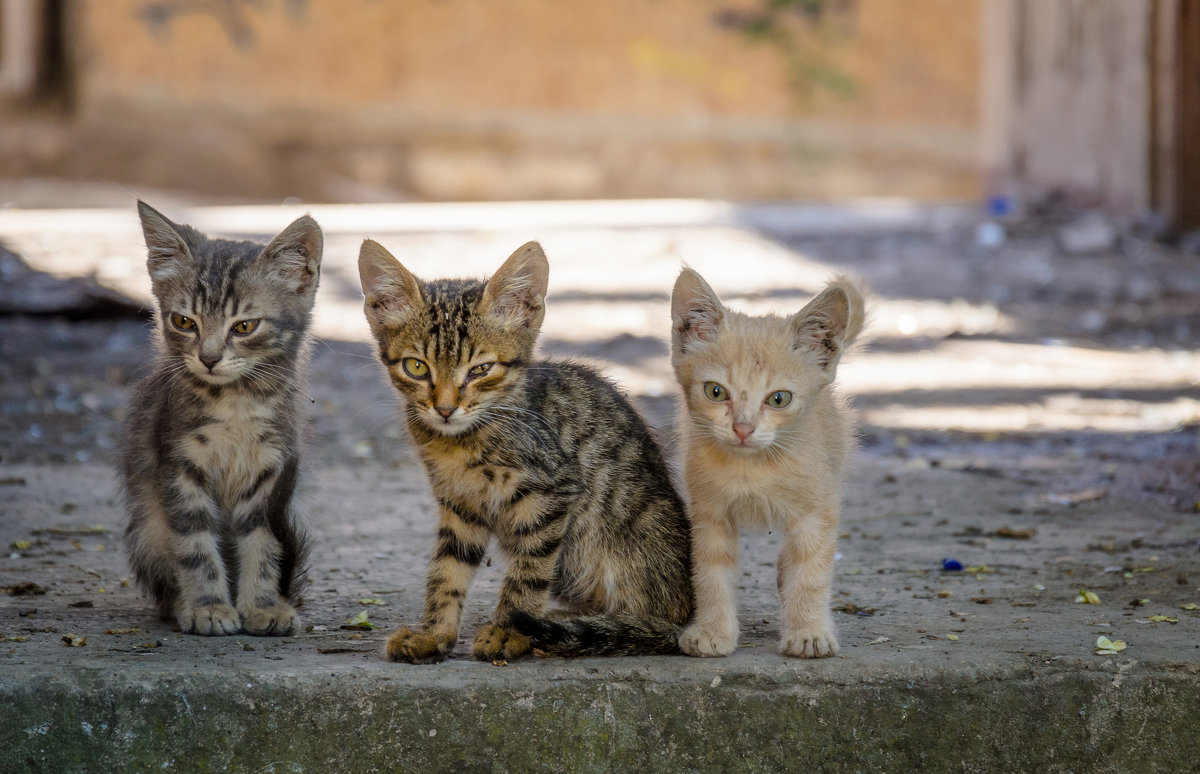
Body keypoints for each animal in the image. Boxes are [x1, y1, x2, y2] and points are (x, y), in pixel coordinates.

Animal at [121, 202, 321, 638]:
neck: (235, 403)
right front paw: (208, 607)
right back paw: (182, 604)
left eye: (244, 326)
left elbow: (263, 541)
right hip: (148, 529)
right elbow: (194, 543)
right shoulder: (177, 464)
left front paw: (263, 606)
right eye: (184, 322)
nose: (209, 358)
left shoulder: (270, 470)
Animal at [355, 238, 696, 662]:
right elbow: (446, 570)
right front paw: (433, 634)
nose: (445, 409)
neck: (462, 442)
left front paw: (508, 631)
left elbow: (529, 571)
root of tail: (686, 615)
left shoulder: (553, 491)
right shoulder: (460, 505)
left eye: (480, 370)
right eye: (417, 367)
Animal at [676, 267, 864, 657]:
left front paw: (808, 631)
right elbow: (710, 572)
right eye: (715, 392)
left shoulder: (816, 510)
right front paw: (713, 631)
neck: (754, 468)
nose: (743, 428)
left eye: (779, 398)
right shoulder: (709, 513)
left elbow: (810, 570)